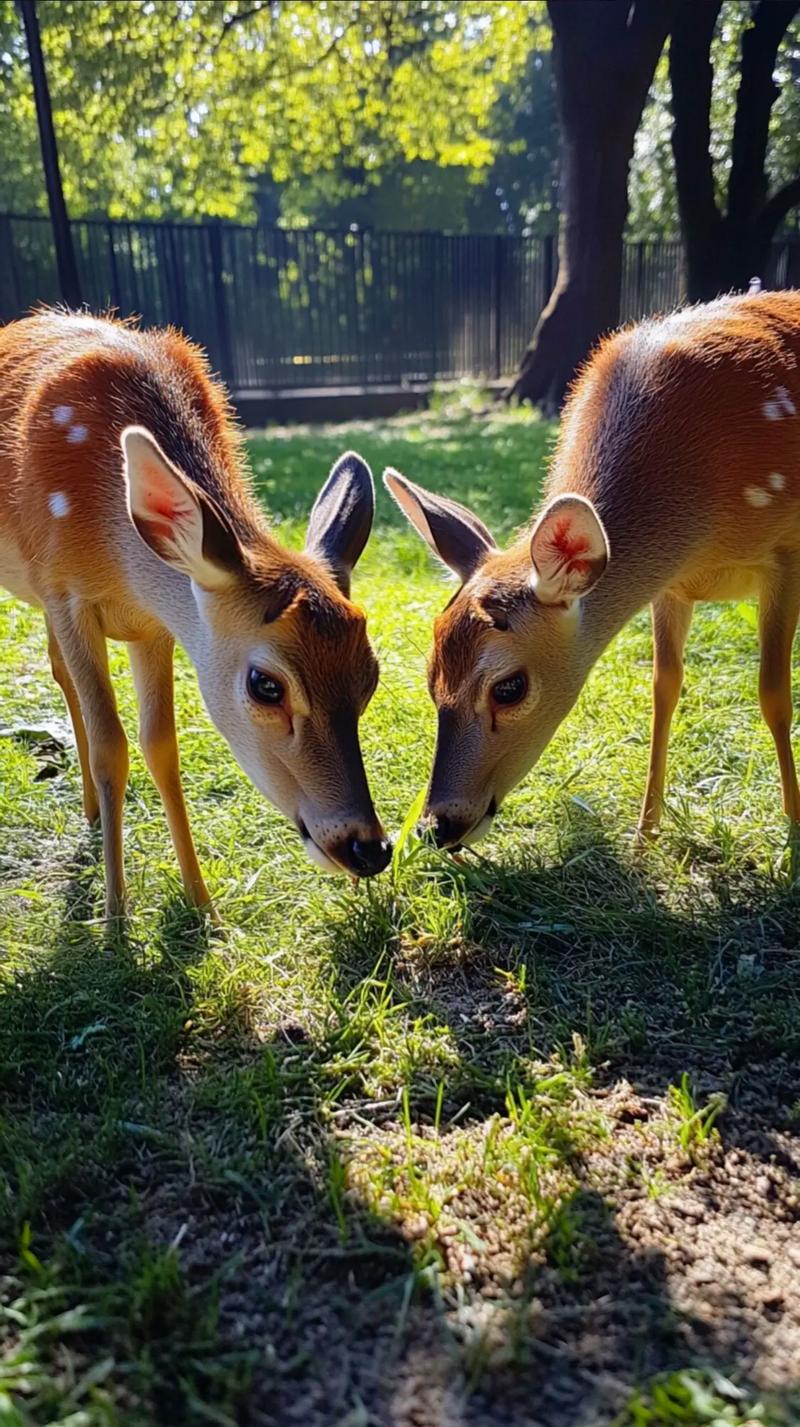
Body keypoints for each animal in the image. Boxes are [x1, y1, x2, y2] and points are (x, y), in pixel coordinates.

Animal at [0, 310, 391, 918]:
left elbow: (161, 747)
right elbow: (112, 747)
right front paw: (117, 916)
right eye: (265, 685)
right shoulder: (67, 594)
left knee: (56, 667)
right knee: (63, 676)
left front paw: (202, 903)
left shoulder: (152, 625)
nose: (369, 848)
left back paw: (90, 809)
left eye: (369, 676)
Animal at [385, 289, 800, 854]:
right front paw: (644, 835)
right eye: (430, 677)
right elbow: (664, 687)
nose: (434, 826)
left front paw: (796, 834)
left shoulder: (784, 554)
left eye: (509, 688)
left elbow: (774, 695)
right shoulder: (670, 587)